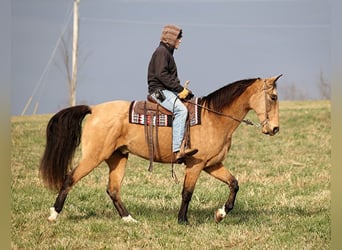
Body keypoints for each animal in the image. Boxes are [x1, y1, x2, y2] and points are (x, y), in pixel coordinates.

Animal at [38, 74, 282, 225]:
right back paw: (53, 215)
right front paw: (183, 220)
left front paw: (221, 214)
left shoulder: (212, 165)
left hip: (118, 157)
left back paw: (129, 219)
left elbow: (234, 184)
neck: (213, 117)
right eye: (273, 96)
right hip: (93, 156)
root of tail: (94, 109)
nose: (275, 128)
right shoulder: (195, 165)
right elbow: (187, 193)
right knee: (70, 178)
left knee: (113, 189)